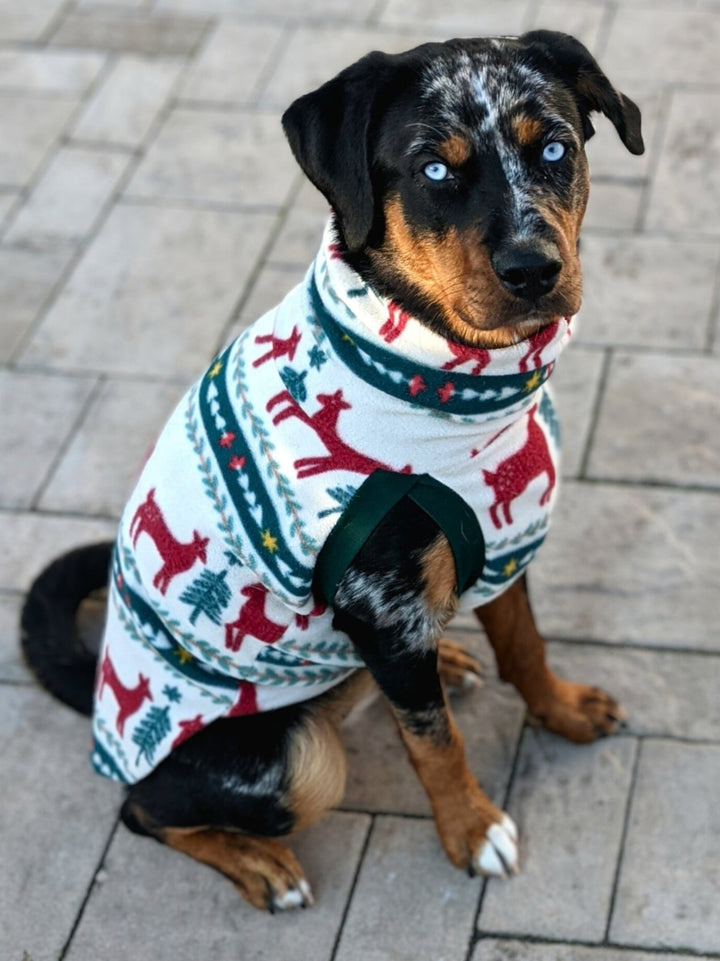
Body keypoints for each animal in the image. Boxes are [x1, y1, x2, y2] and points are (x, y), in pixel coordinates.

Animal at [21, 30, 640, 912]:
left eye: (554, 147)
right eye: (434, 169)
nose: (534, 269)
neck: (447, 380)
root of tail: (105, 704)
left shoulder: (500, 548)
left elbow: (526, 646)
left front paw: (564, 708)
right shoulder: (385, 607)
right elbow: (436, 742)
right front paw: (472, 829)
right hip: (294, 760)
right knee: (141, 808)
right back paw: (260, 863)